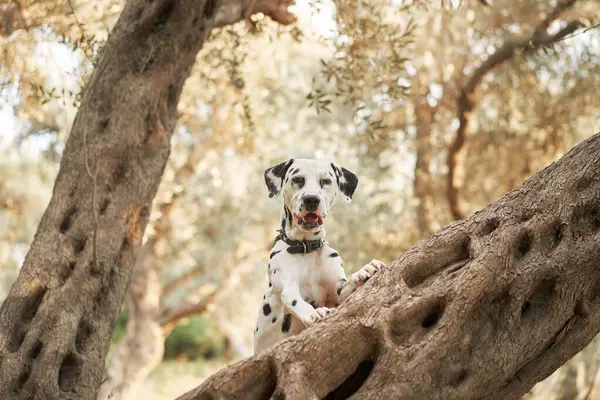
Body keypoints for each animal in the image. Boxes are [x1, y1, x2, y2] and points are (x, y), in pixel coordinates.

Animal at [252, 159, 384, 354]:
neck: (305, 248)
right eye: (298, 179)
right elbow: (295, 301)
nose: (311, 199)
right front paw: (314, 312)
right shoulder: (288, 288)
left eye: (326, 181)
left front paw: (364, 271)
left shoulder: (337, 292)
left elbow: (347, 284)